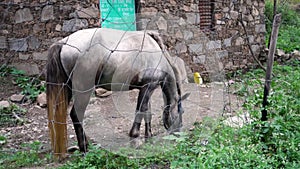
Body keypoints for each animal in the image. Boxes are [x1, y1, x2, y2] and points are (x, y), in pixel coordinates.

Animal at [45, 27, 189, 158]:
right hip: (83, 91)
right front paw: (135, 136)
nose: (178, 134)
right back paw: (84, 148)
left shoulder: (147, 88)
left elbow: (147, 112)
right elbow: (140, 110)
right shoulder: (148, 87)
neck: (157, 53)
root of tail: (64, 42)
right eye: (181, 112)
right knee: (76, 115)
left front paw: (149, 136)